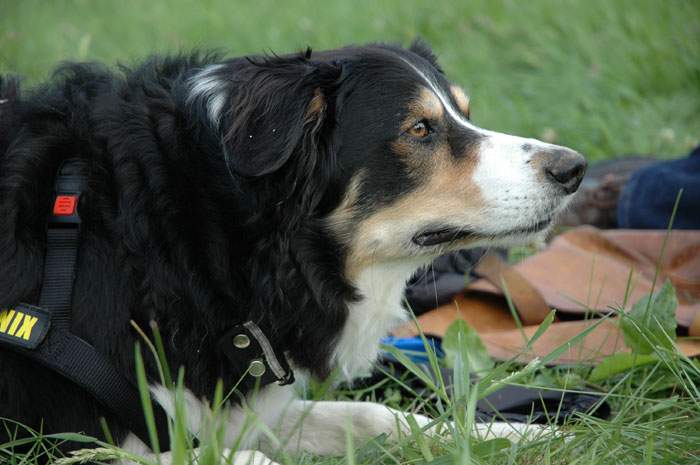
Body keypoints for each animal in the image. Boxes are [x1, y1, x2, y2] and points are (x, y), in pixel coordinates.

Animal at [0, 41, 584, 462]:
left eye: (465, 112)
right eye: (419, 128)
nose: (573, 168)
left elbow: (373, 415)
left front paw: (521, 435)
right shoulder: (67, 442)